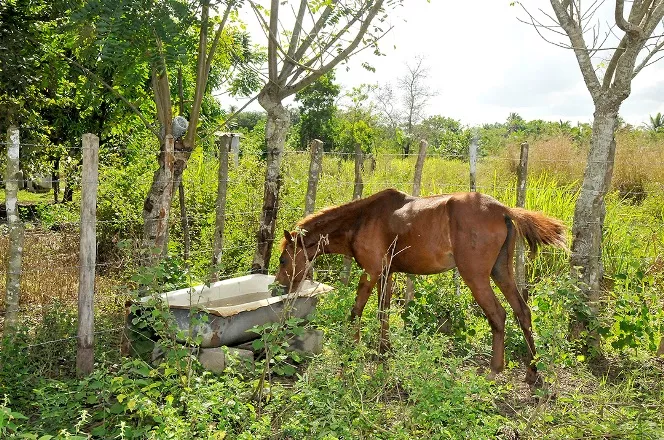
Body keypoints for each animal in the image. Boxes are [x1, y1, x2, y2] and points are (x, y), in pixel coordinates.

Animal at [274, 187, 564, 384]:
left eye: (283, 259)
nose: (278, 288)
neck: (361, 219)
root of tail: (504, 210)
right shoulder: (387, 274)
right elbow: (383, 312)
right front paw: (384, 351)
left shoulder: (371, 272)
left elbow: (356, 310)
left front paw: (351, 350)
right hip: (501, 272)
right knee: (522, 312)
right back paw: (533, 372)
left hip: (476, 277)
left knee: (498, 314)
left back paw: (494, 370)